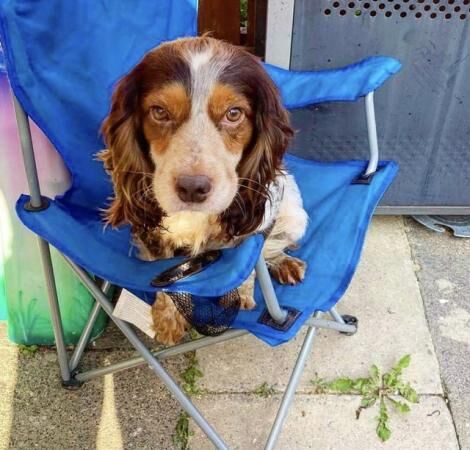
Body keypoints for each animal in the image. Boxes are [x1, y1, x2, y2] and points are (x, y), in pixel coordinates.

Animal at [99, 37, 308, 344]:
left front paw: (242, 294)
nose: (192, 188)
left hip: (295, 215)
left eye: (234, 113)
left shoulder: (258, 217)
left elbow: (250, 261)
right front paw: (168, 320)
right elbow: (163, 275)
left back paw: (284, 262)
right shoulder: (151, 230)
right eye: (159, 111)